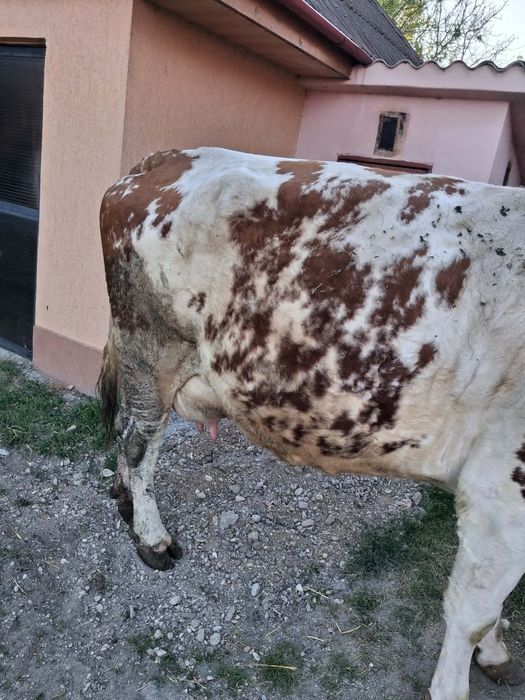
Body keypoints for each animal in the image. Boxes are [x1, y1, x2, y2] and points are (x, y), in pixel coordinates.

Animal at [98, 146, 525, 700]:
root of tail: (168, 157)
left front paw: (494, 654)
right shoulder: (502, 490)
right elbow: (474, 612)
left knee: (128, 435)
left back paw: (126, 503)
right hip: (152, 349)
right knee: (138, 444)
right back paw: (151, 538)